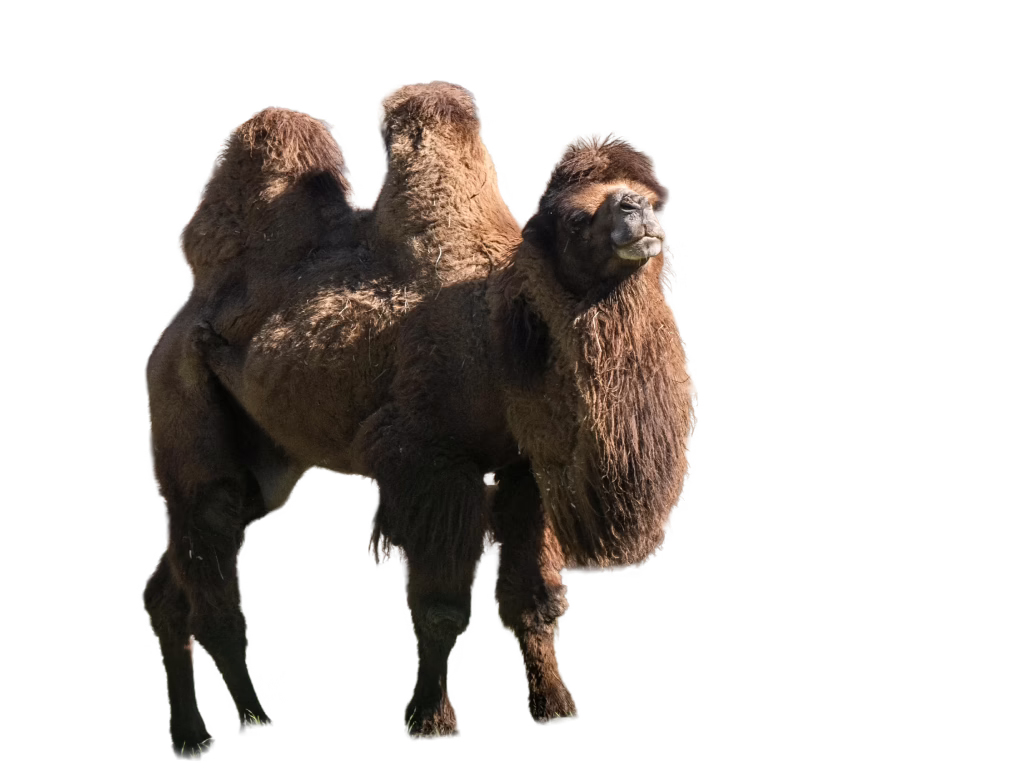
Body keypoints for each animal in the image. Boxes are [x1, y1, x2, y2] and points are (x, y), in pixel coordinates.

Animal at [142, 81, 697, 758]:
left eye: (653, 197)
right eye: (573, 218)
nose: (634, 213)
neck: (497, 329)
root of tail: (172, 330)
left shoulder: (524, 471)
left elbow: (535, 604)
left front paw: (555, 707)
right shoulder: (430, 458)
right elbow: (441, 608)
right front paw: (432, 721)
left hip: (266, 471)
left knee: (175, 585)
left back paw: (192, 737)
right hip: (188, 417)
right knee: (213, 571)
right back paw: (252, 718)